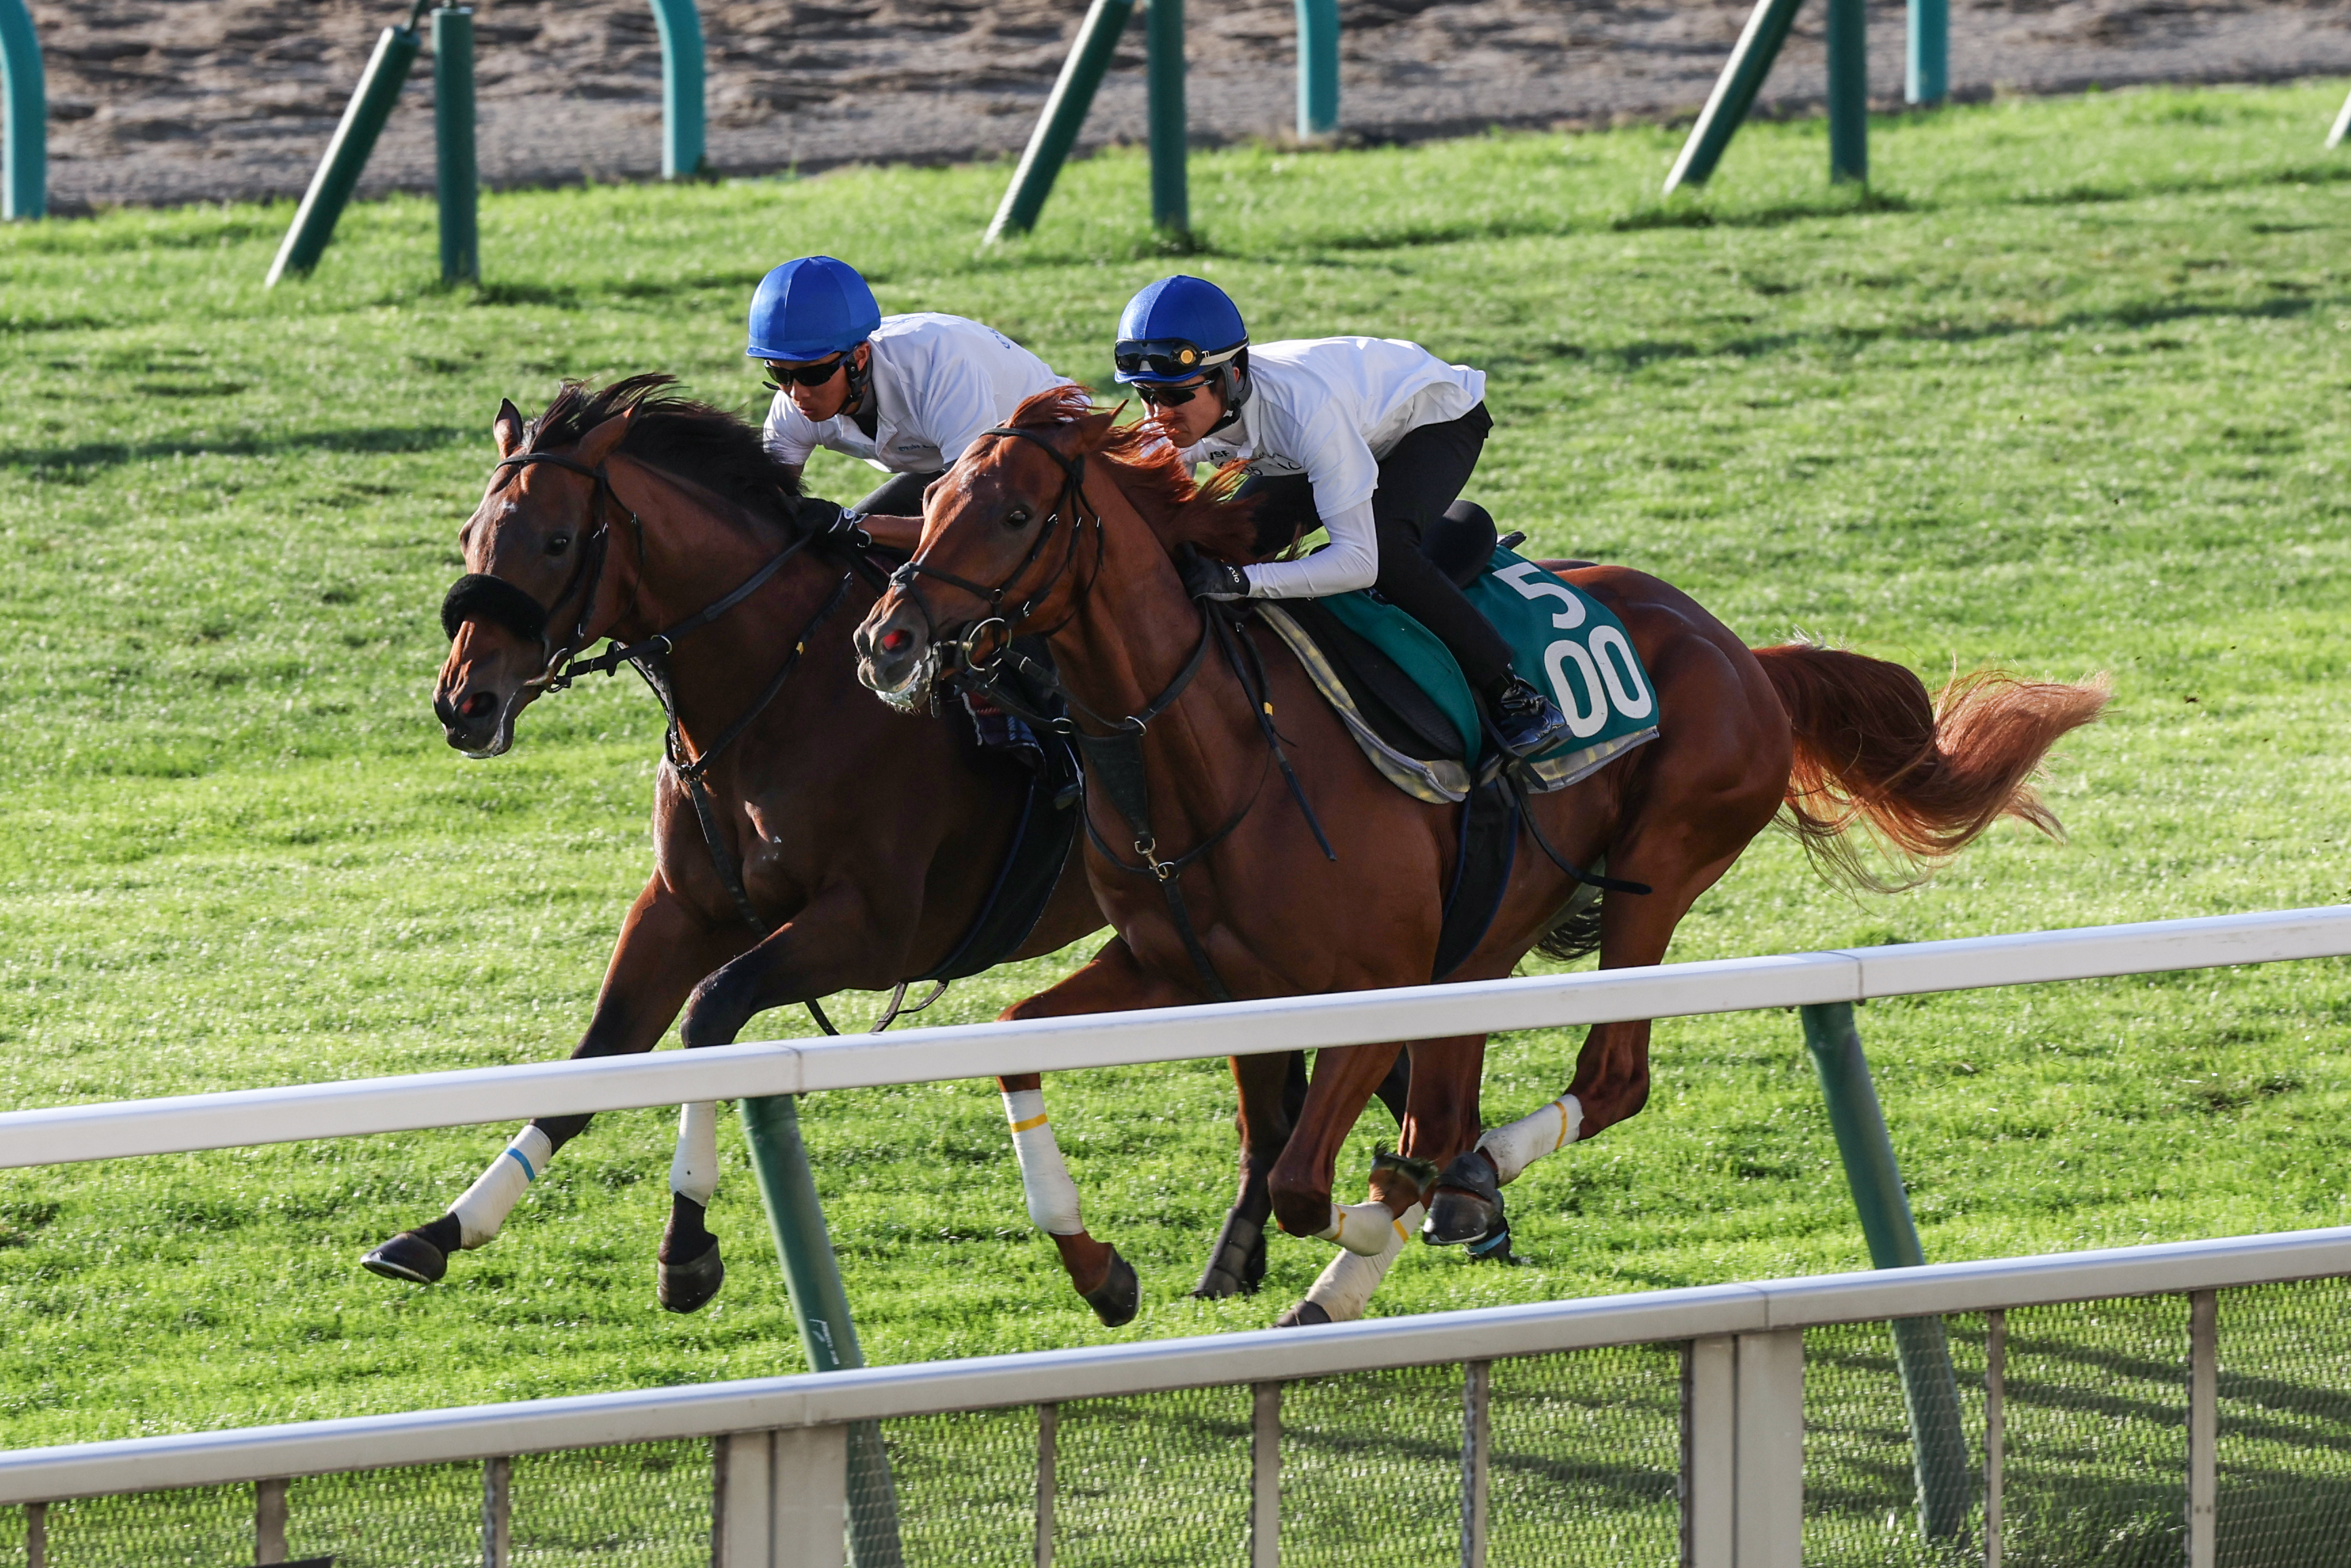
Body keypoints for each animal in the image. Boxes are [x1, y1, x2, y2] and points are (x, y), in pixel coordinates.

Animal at [359, 376, 1109, 1316]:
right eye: (470, 535)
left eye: (558, 540)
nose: (464, 703)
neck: (779, 689)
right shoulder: (681, 907)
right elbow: (596, 1054)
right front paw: (444, 1228)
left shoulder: (874, 930)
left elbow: (710, 1014)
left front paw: (686, 1243)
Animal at [851, 390, 2116, 1325]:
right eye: (930, 502)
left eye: (1016, 514)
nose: (885, 638)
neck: (1210, 748)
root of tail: (1739, 648)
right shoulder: (1182, 970)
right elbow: (1018, 1039)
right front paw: (1102, 1269)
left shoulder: (1372, 981)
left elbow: (1306, 1181)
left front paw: (1374, 1217)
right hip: (1487, 927)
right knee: (1452, 1104)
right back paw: (1405, 1228)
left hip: (1657, 869)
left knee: (1605, 1080)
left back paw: (1450, 1192)